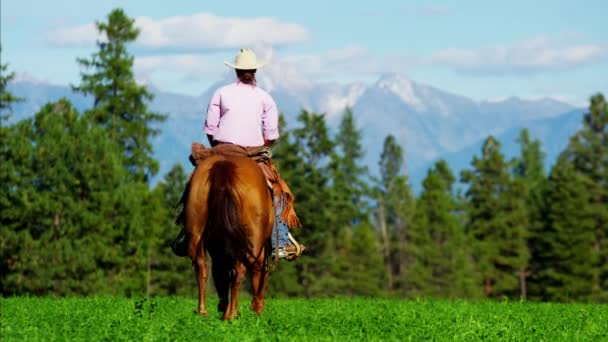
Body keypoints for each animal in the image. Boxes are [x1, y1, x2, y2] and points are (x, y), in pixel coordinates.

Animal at [183, 154, 274, 320]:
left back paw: (202, 312)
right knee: (241, 270)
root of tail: (223, 166)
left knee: (201, 267)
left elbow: (220, 275)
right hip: (252, 242)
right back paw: (231, 315)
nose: (258, 310)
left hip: (196, 234)